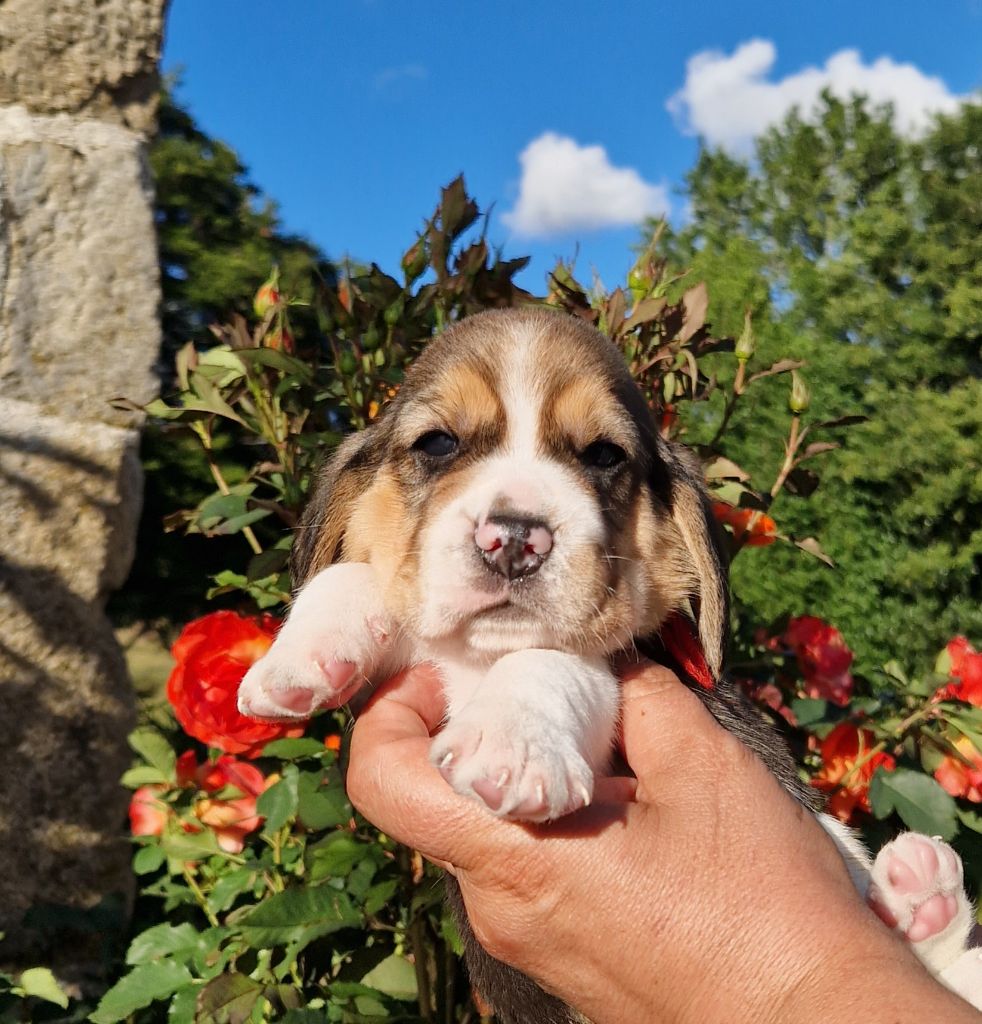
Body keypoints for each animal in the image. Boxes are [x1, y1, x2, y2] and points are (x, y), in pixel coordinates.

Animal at [239, 307, 982, 1019]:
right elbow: (353, 577)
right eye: (438, 444)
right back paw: (919, 896)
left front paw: (512, 746)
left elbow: (547, 660)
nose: (515, 537)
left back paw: (924, 894)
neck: (481, 654)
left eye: (603, 456)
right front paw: (297, 661)